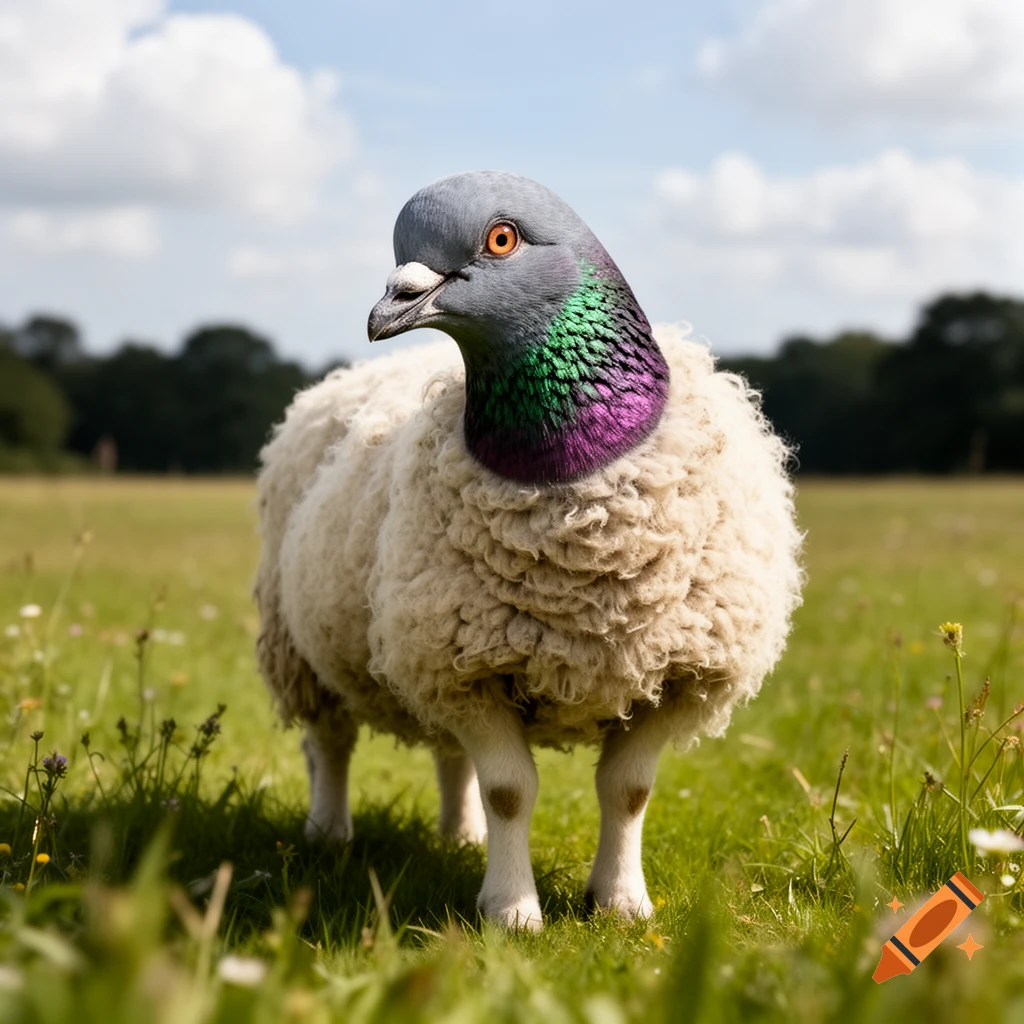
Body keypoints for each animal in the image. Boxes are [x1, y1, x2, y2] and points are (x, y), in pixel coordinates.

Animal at [254, 171, 803, 930]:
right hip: (309, 652)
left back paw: (459, 835)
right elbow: (511, 792)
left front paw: (621, 904)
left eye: (501, 239)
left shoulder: (675, 678)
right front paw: (512, 912)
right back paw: (330, 834)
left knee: (449, 758)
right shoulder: (471, 671)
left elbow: (628, 791)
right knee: (329, 745)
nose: (386, 309)